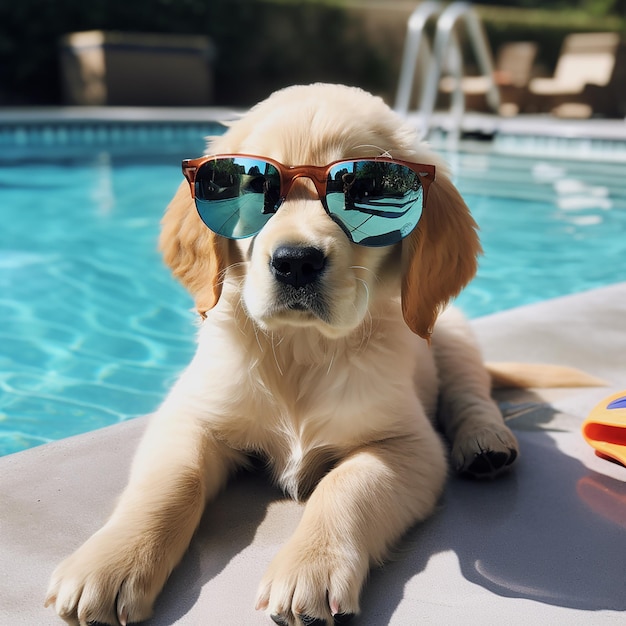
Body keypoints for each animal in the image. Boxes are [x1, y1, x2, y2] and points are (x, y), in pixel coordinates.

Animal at [45, 84, 516, 624]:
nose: (296, 263)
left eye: (366, 189)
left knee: (471, 394)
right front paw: (111, 561)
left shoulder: (409, 445)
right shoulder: (190, 415)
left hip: (455, 336)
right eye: (253, 186)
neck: (299, 350)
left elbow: (345, 487)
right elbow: (169, 485)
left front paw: (310, 568)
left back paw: (485, 442)